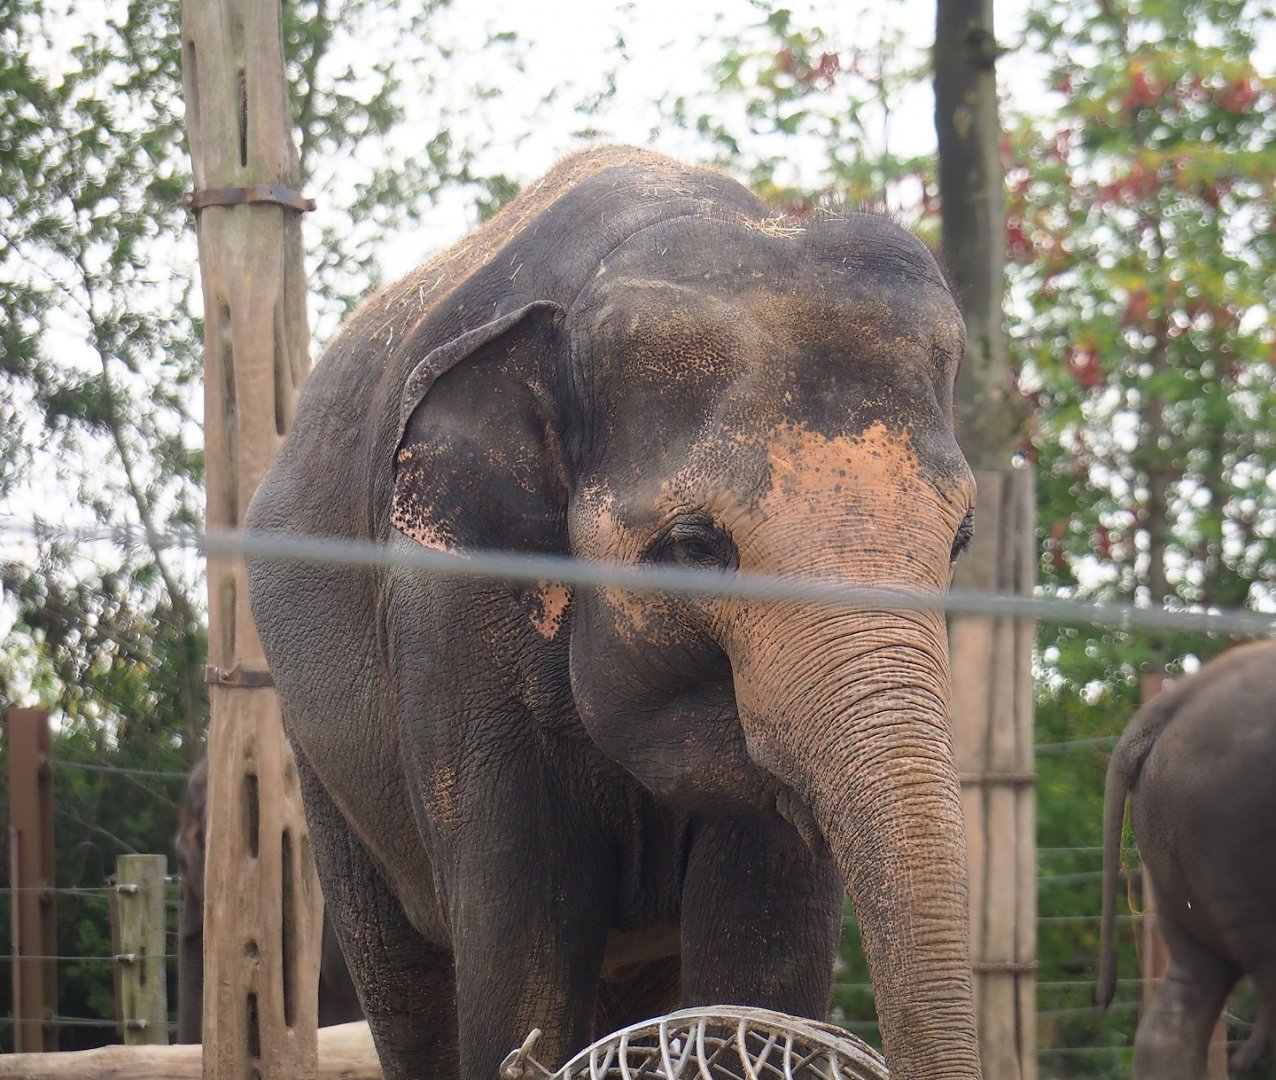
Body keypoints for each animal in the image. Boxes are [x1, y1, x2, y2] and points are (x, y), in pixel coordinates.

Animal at [245, 145, 981, 1080]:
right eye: (697, 547)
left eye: (960, 540)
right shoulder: (452, 609)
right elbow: (522, 941)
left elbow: (759, 959)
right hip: (319, 763)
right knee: (404, 985)